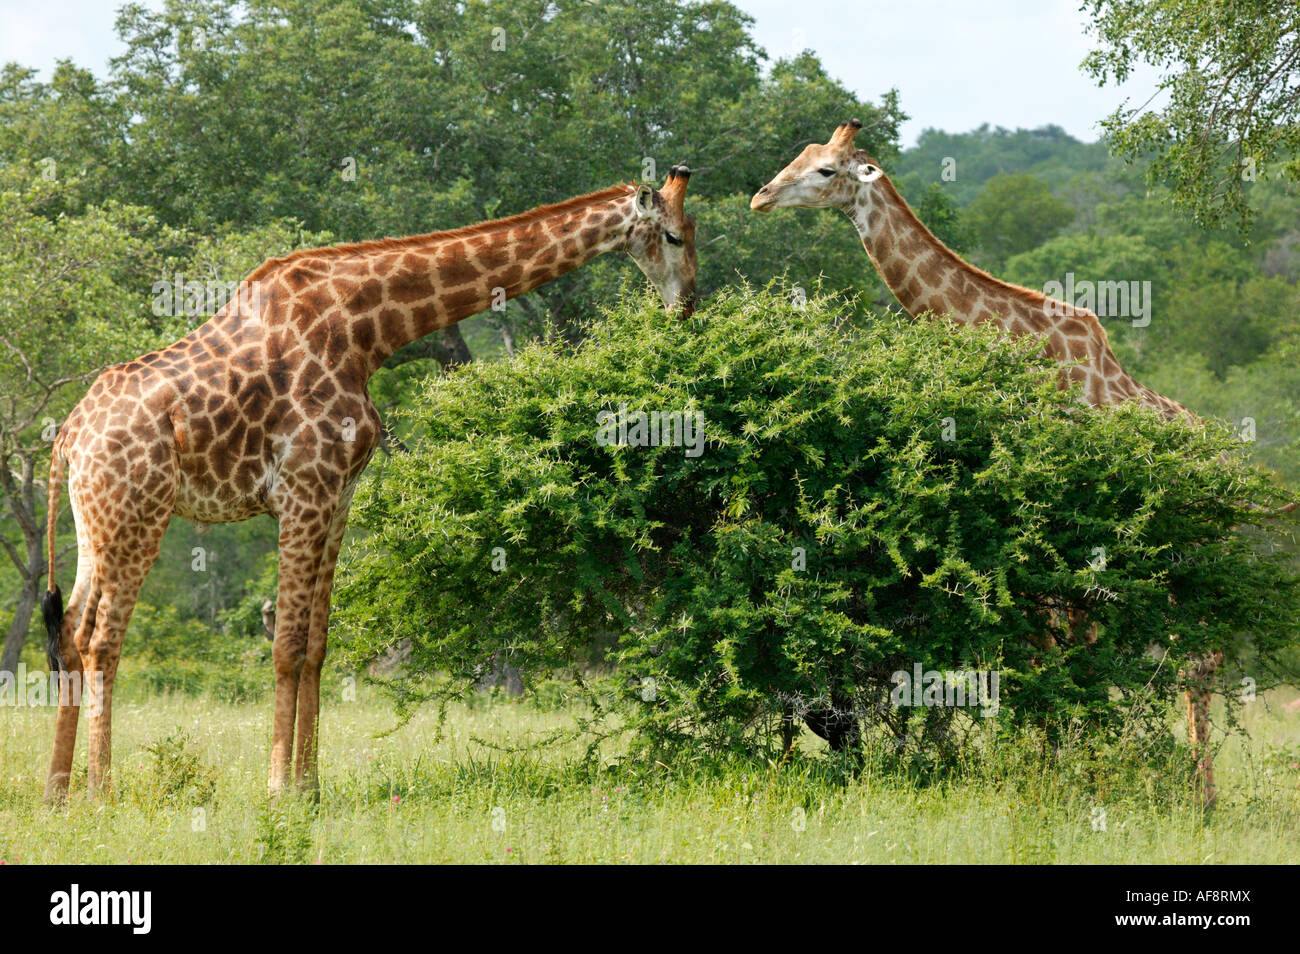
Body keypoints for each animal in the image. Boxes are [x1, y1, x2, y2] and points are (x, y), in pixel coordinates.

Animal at [40, 170, 696, 800]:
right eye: (672, 236)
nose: (687, 306)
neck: (366, 330)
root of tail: (67, 436)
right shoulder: (303, 489)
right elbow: (285, 645)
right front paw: (277, 789)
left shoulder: (338, 497)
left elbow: (316, 646)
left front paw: (310, 787)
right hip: (138, 517)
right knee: (103, 641)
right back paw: (102, 792)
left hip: (95, 523)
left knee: (70, 631)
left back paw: (58, 792)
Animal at [748, 119, 1222, 805]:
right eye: (801, 157)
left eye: (826, 170)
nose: (760, 197)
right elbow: (1043, 654)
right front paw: (1051, 770)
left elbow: (1056, 655)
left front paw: (1064, 775)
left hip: (1192, 558)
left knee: (1200, 660)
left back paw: (1204, 798)